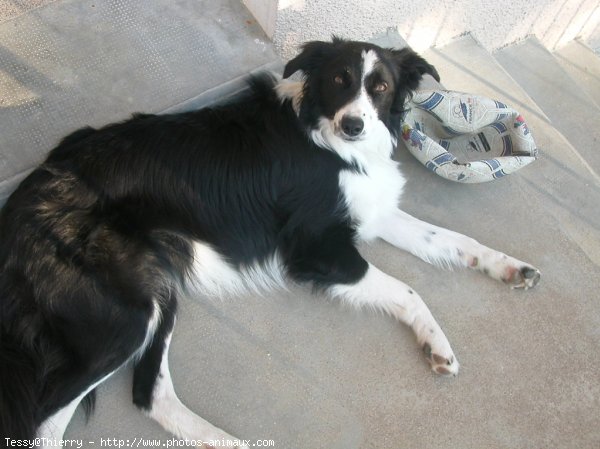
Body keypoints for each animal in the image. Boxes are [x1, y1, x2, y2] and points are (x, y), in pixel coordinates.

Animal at [0, 38, 540, 444]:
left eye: (381, 87)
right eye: (339, 80)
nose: (353, 124)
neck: (324, 134)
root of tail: (24, 200)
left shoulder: (371, 212)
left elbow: (451, 239)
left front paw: (510, 267)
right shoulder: (316, 250)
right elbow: (409, 288)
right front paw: (437, 344)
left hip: (158, 290)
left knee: (150, 394)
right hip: (126, 315)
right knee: (43, 422)